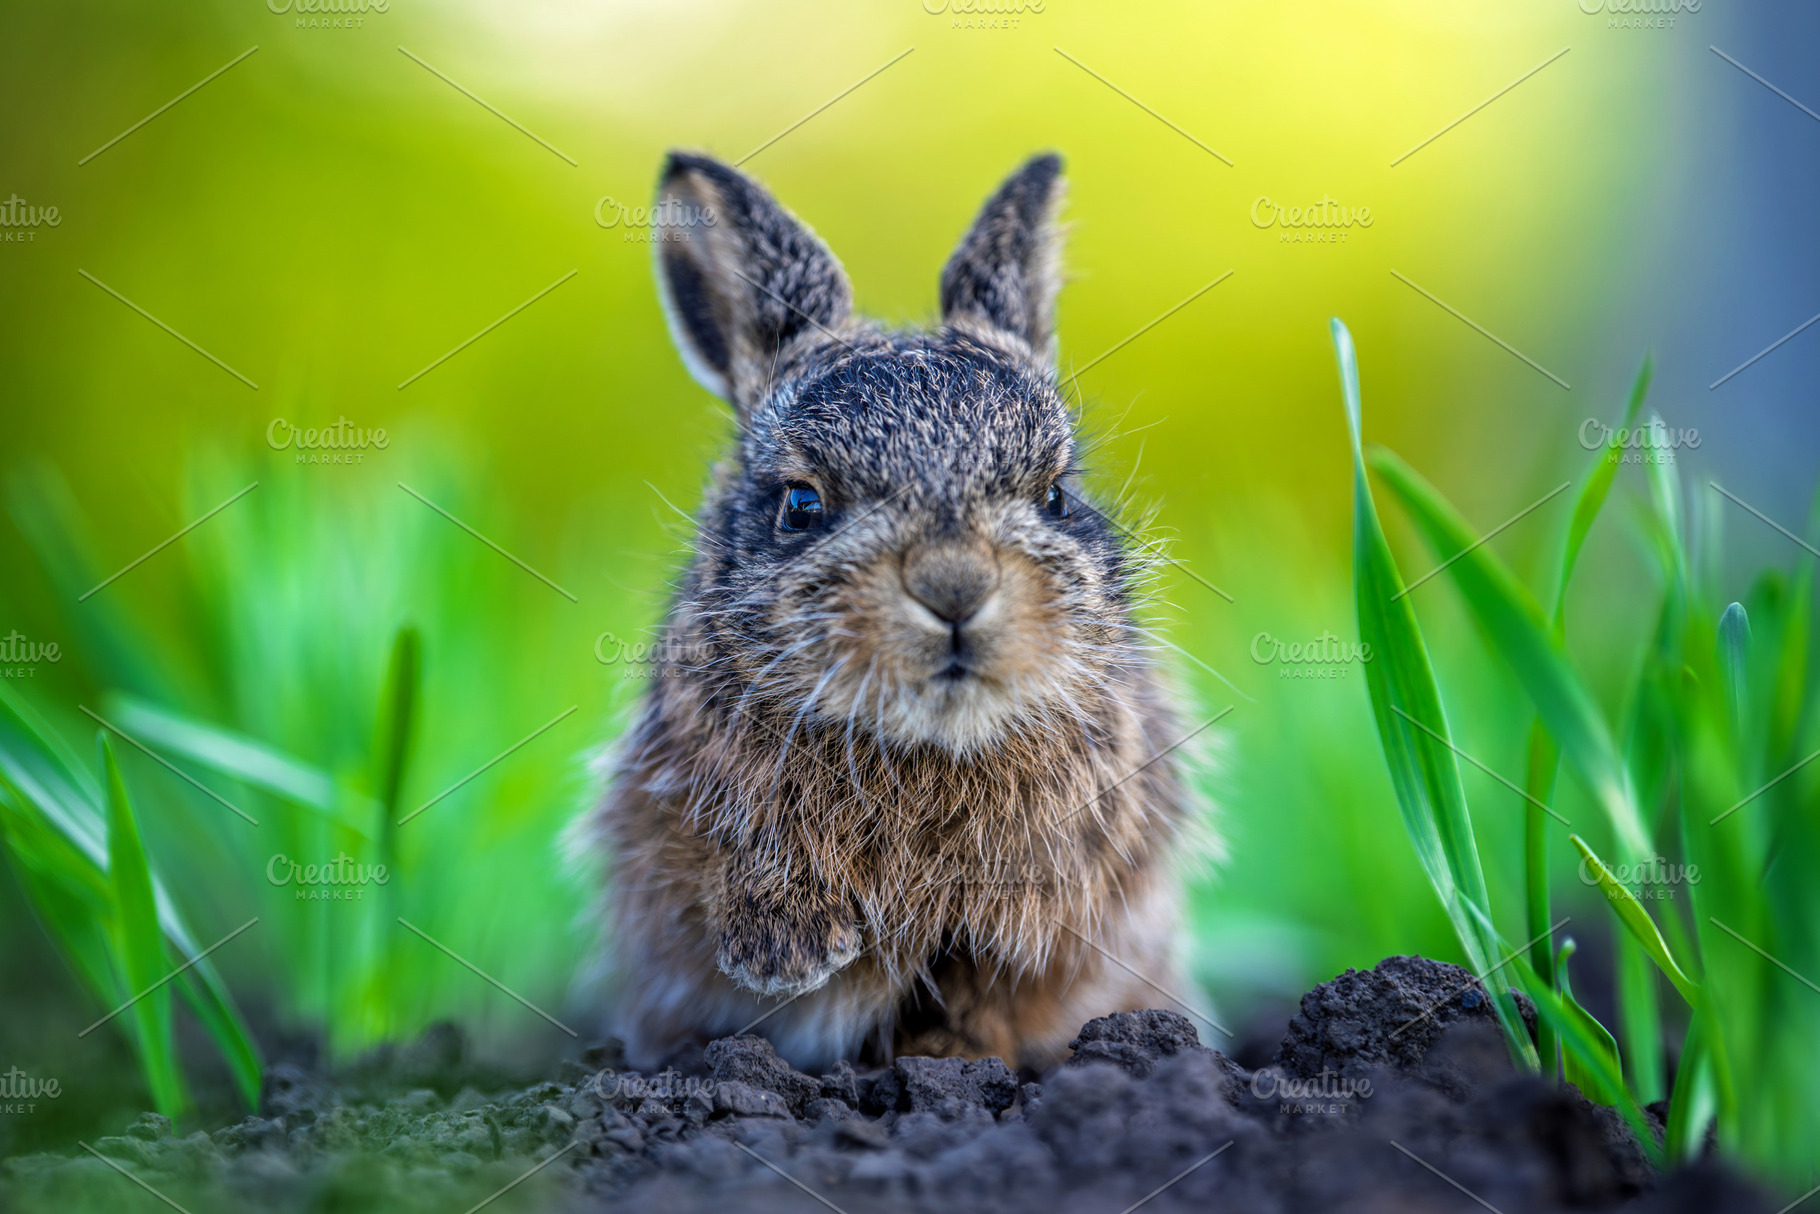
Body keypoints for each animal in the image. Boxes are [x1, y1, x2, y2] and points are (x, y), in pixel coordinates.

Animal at [583, 149, 1210, 1073]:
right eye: (802, 505)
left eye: (1055, 497)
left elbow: (979, 984)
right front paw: (787, 952)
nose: (954, 587)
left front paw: (944, 1059)